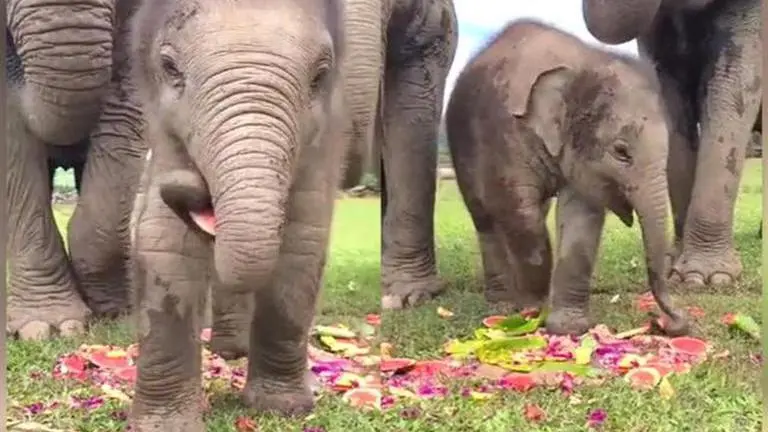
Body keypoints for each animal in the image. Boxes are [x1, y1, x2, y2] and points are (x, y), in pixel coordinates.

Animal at [444, 19, 689, 336]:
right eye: (621, 152)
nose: (666, 321)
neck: (582, 62)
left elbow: (581, 217)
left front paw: (568, 327)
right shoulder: (504, 135)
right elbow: (519, 214)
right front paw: (532, 311)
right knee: (485, 219)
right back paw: (500, 306)